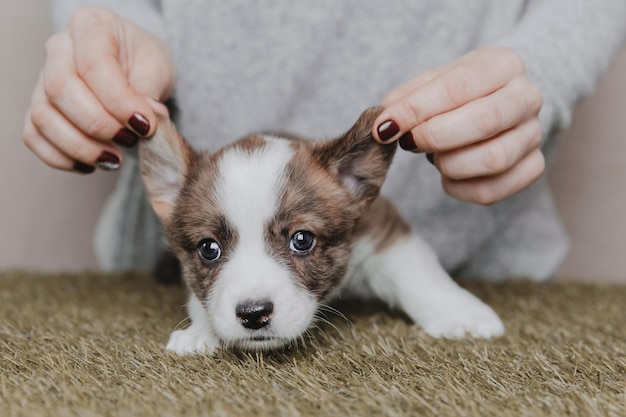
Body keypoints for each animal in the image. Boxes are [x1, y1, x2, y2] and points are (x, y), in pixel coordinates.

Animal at [138, 107, 502, 354]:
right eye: (209, 249)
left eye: (302, 240)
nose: (254, 315)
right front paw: (201, 331)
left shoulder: (381, 229)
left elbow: (418, 277)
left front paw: (460, 314)